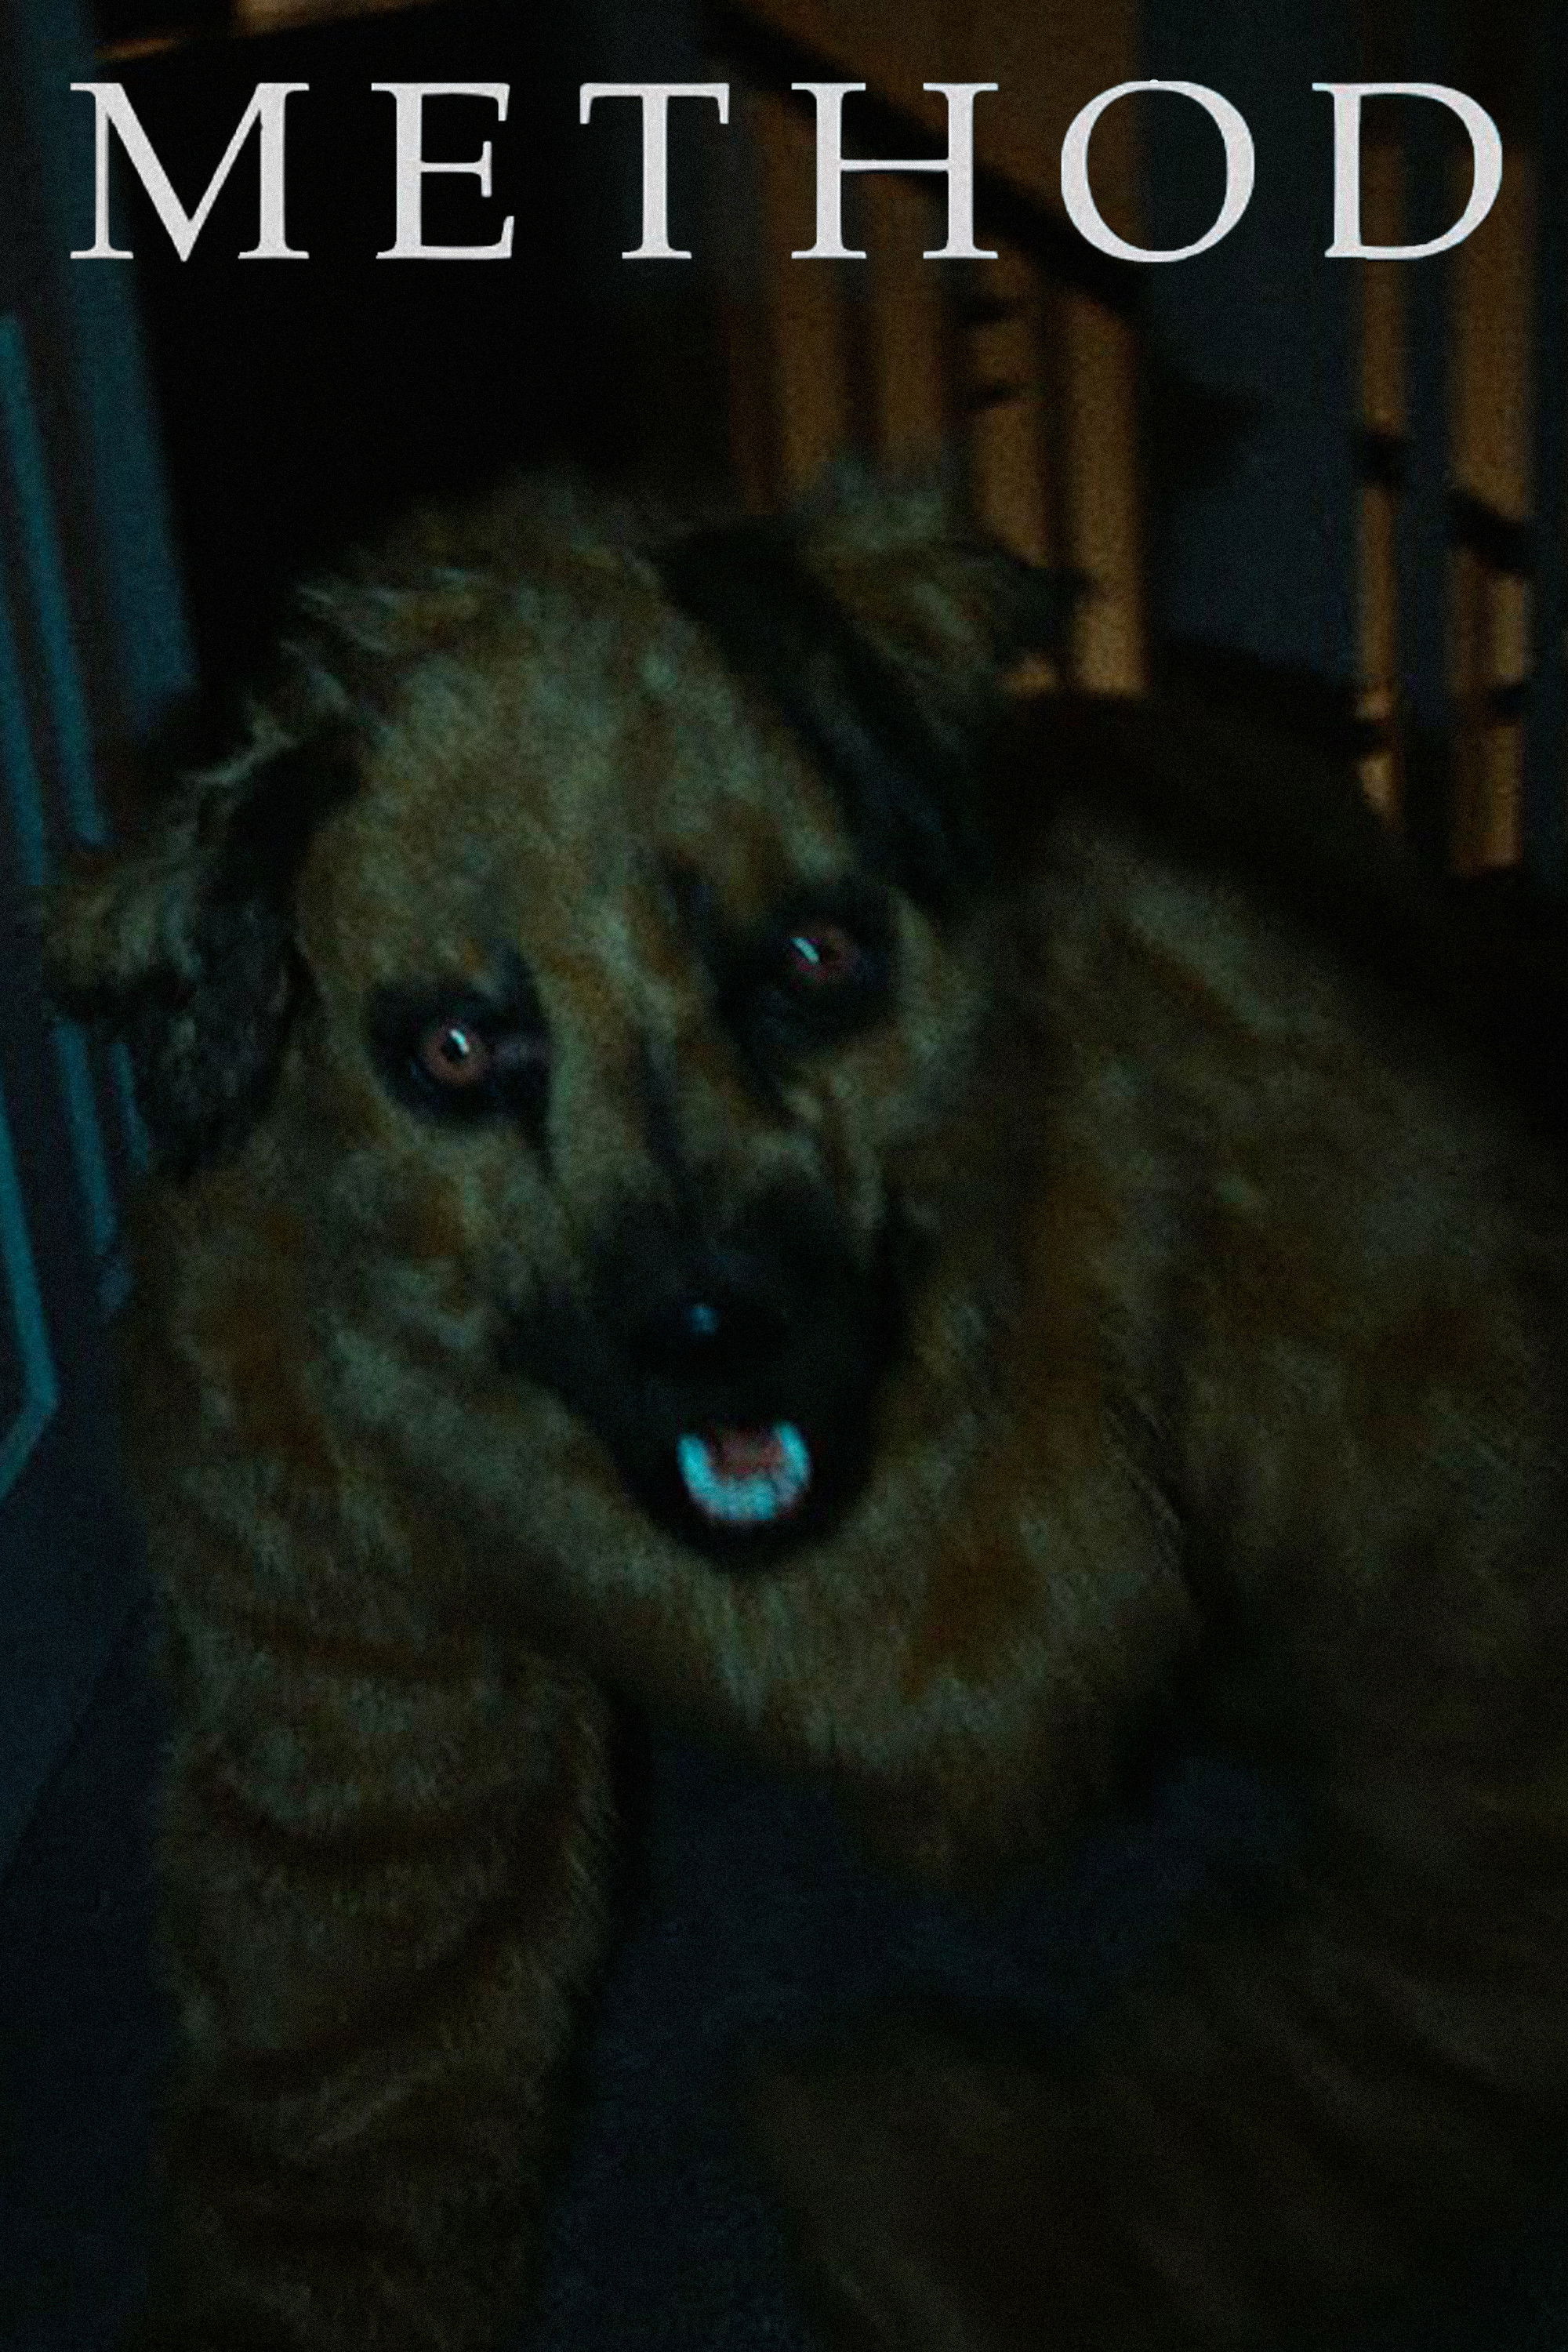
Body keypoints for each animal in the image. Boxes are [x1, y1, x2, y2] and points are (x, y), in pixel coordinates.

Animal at [47, 467, 1568, 2351]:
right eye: (458, 1050)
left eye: (817, 957)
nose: (712, 1333)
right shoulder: (328, 1682)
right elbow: (339, 2115)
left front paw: (938, 2196)